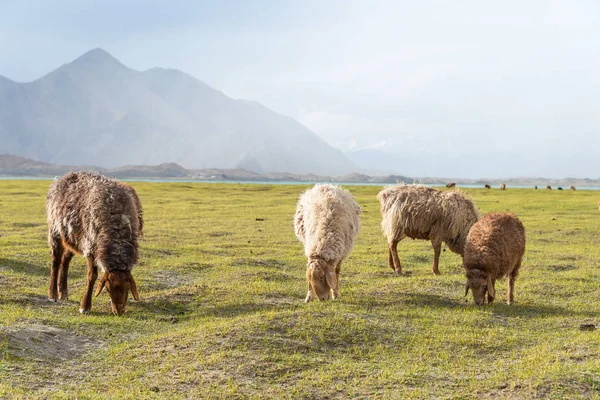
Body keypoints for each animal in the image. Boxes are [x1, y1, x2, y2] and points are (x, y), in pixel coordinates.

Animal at [46, 172, 142, 316]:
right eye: (107, 289)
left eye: (128, 288)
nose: (118, 312)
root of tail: (63, 178)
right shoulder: (90, 246)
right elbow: (92, 276)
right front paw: (85, 306)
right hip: (56, 230)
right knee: (55, 261)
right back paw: (53, 295)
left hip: (73, 238)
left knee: (65, 260)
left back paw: (63, 293)